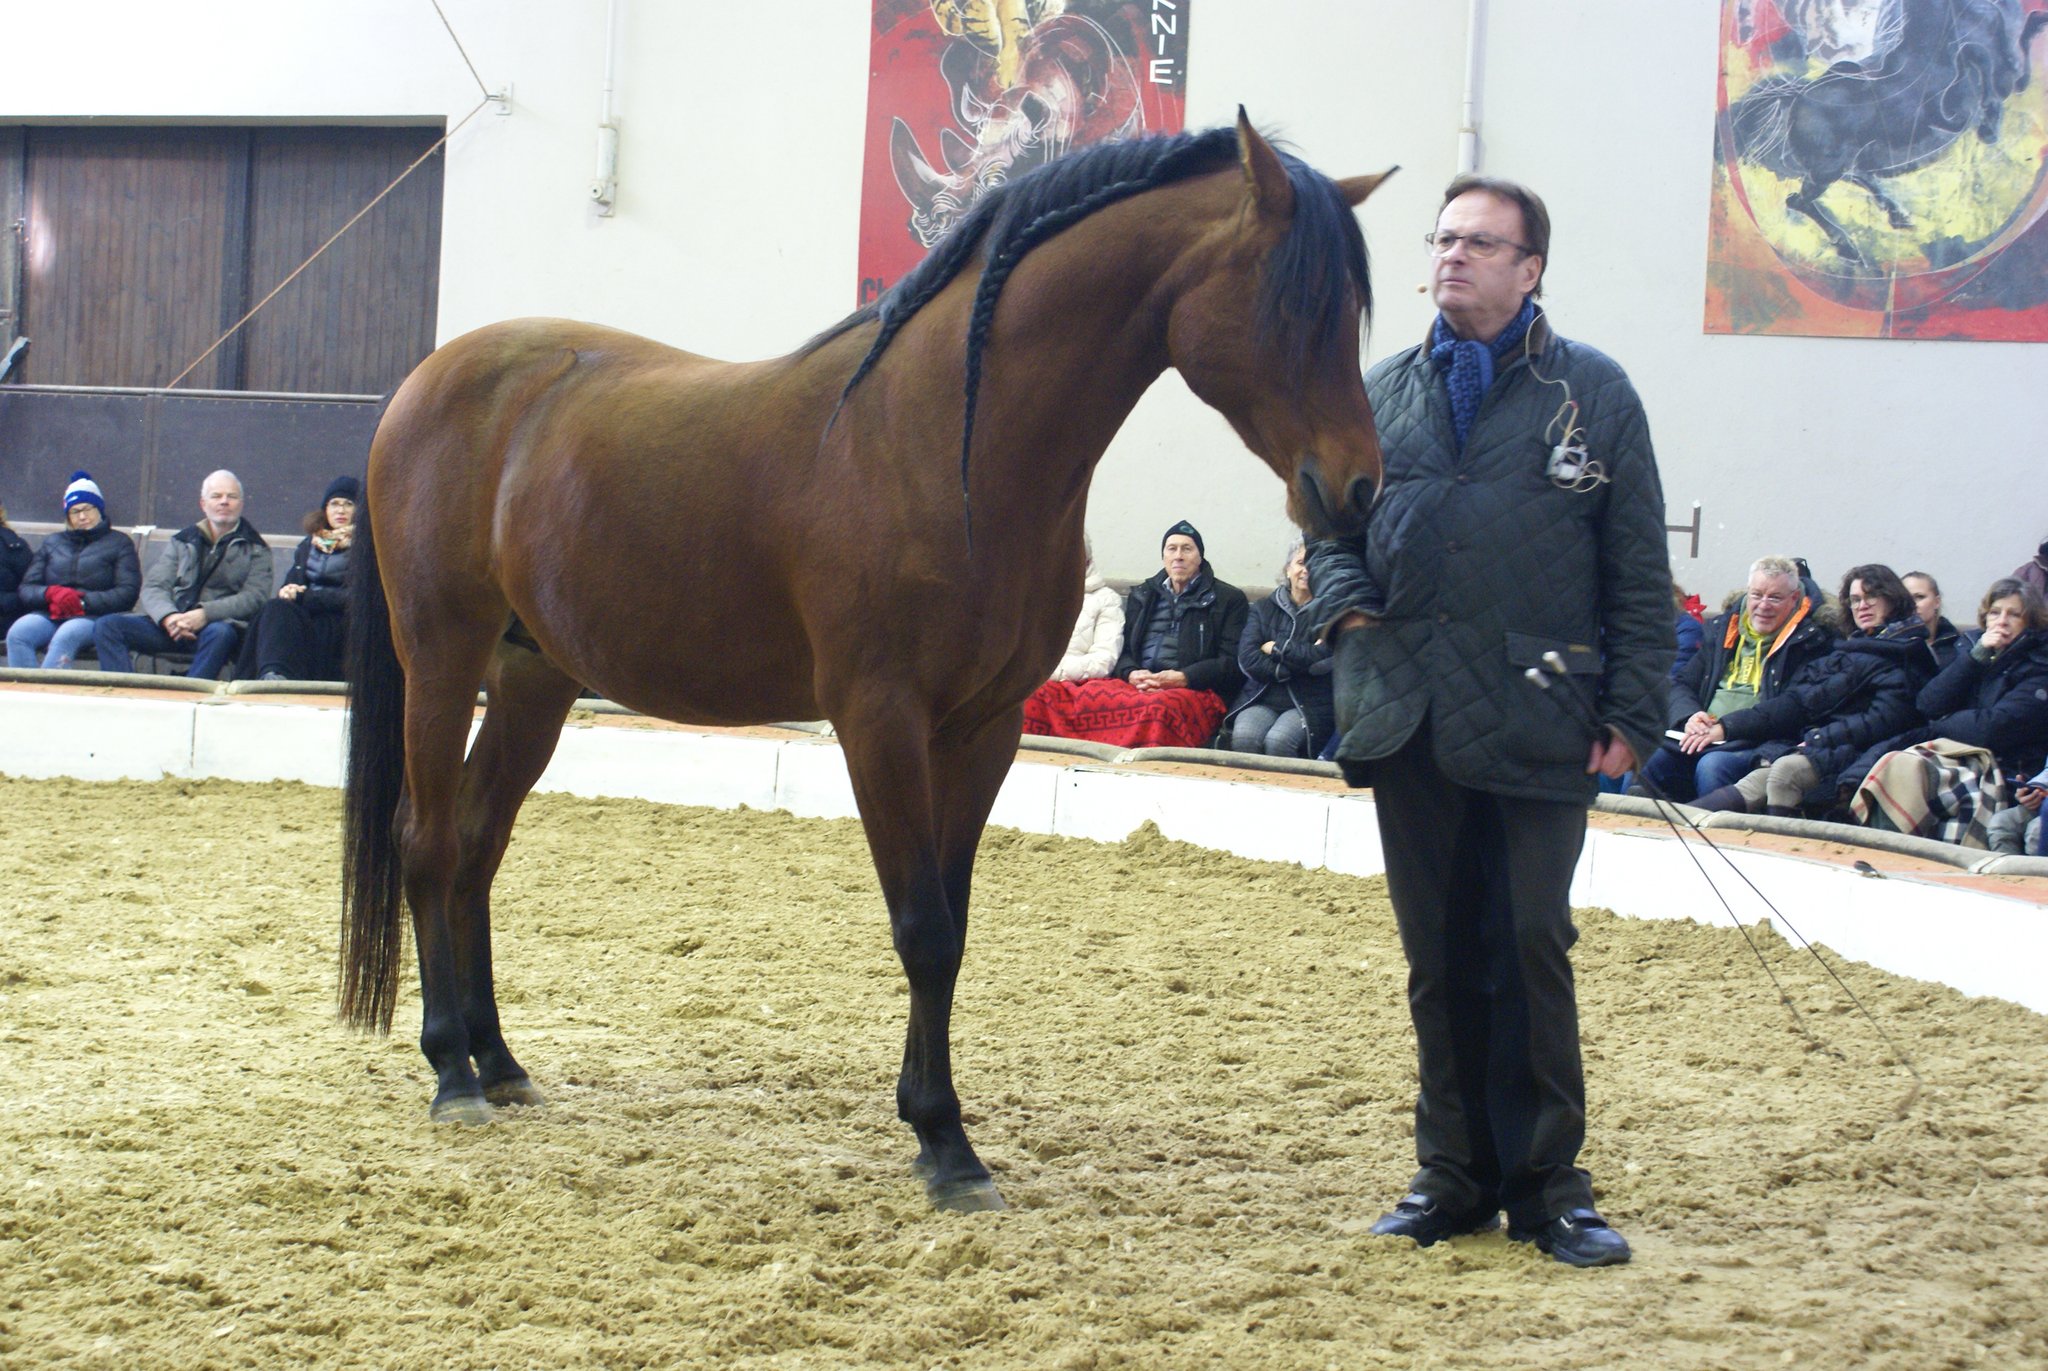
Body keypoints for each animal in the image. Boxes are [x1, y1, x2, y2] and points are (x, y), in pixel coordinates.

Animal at [339, 112, 1393, 1212]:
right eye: (1294, 304)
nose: (1357, 488)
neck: (948, 443)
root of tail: (421, 386)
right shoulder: (879, 718)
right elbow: (920, 926)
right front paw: (946, 1145)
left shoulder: (984, 729)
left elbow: (952, 926)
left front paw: (932, 1122)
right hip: (442, 657)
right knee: (426, 840)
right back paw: (451, 1069)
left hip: (533, 680)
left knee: (476, 846)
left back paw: (499, 1061)